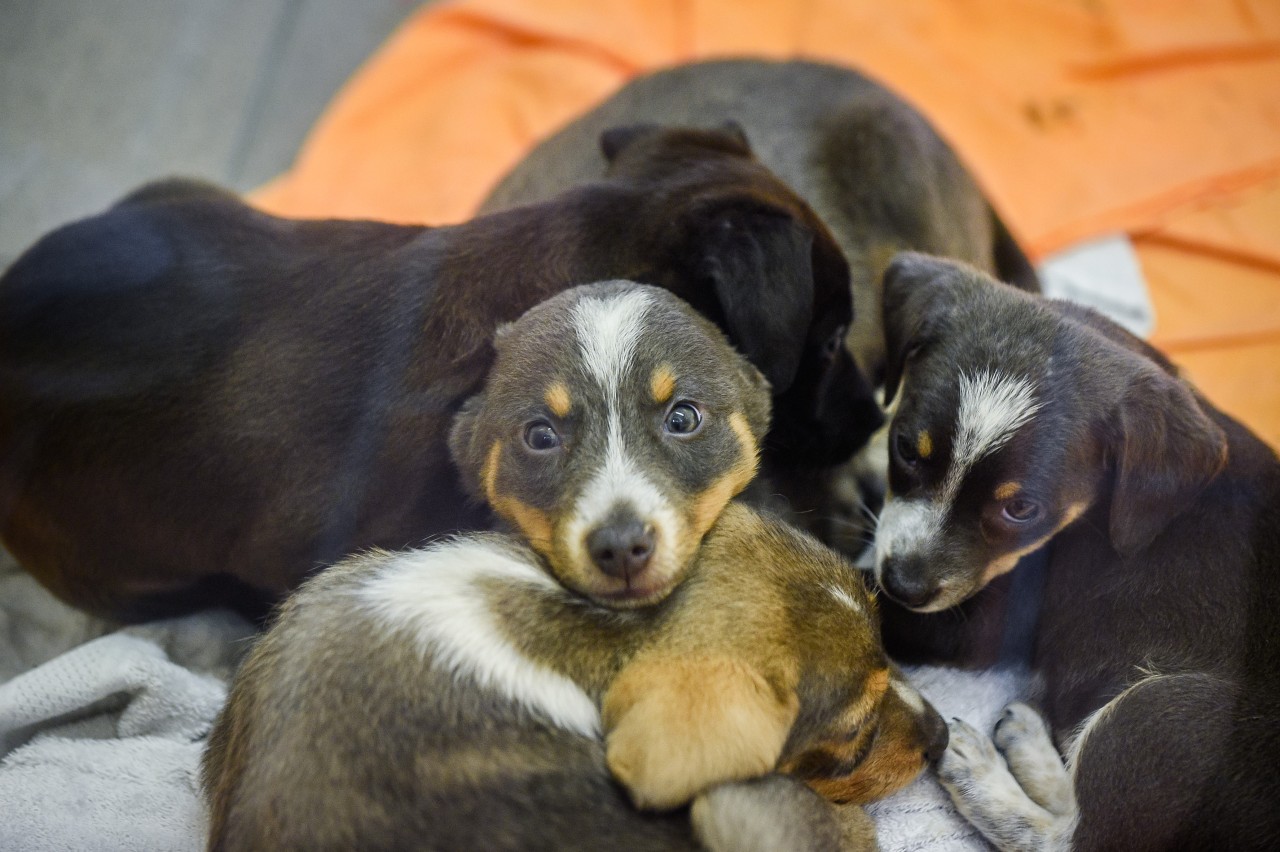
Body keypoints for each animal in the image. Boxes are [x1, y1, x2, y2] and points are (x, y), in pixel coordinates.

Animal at [870, 252, 1280, 849]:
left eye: (1021, 510)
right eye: (905, 447)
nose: (903, 584)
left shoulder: (976, 625)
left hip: (1163, 717)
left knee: (1074, 837)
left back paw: (980, 770)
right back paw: (1027, 742)